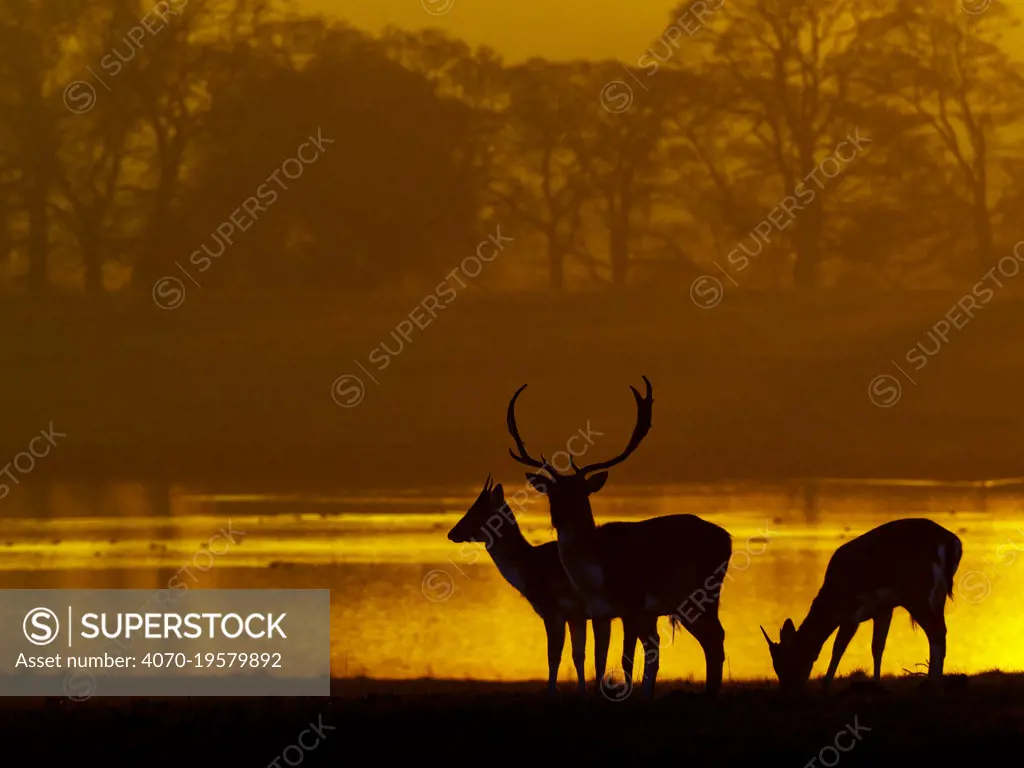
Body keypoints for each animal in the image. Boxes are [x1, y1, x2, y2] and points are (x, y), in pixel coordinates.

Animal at [446, 475, 606, 696]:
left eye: (478, 510)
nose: (452, 533)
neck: (532, 565)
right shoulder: (575, 615)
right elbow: (578, 655)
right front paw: (581, 692)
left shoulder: (554, 612)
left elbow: (554, 655)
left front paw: (551, 692)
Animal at [501, 378, 729, 704]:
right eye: (551, 494)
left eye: (581, 492)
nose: (559, 520)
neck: (596, 573)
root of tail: (728, 539)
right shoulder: (601, 612)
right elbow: (599, 658)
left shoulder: (633, 605)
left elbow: (630, 657)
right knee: (712, 638)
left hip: (702, 595)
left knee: (715, 638)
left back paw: (710, 692)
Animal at [765, 520, 962, 696]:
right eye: (775, 665)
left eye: (786, 662)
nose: (788, 691)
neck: (833, 598)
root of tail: (951, 543)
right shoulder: (883, 610)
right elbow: (877, 646)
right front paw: (876, 684)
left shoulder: (852, 612)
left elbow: (838, 647)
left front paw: (826, 685)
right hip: (938, 596)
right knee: (941, 631)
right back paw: (936, 685)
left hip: (917, 594)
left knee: (936, 632)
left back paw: (933, 688)